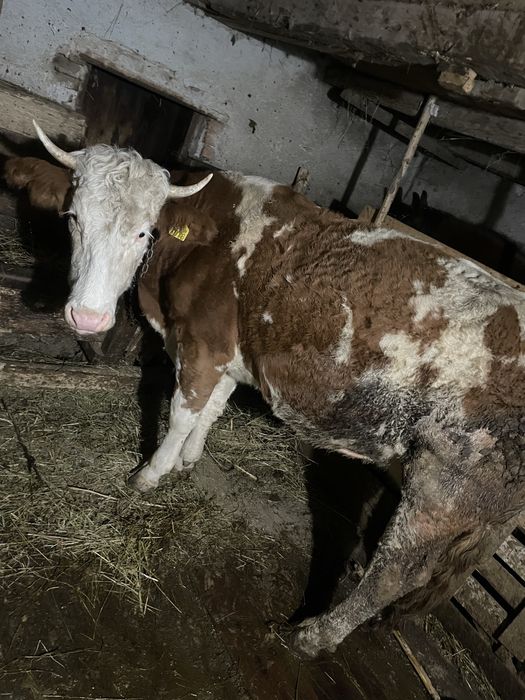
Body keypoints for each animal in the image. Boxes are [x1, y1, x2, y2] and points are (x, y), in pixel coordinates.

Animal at [5, 121, 525, 659]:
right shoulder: (229, 356)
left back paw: (312, 635)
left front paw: (150, 473)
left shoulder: (201, 343)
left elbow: (182, 411)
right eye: (73, 218)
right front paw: (189, 459)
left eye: (144, 231)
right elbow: (211, 409)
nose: (87, 318)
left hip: (443, 488)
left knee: (396, 572)